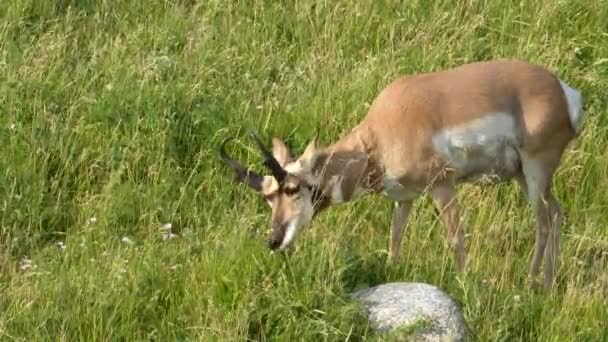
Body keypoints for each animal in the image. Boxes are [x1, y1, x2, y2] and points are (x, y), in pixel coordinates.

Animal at [221, 58, 580, 288]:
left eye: (293, 189)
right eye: (268, 198)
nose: (273, 240)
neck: (379, 137)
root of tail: (563, 90)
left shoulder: (443, 187)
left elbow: (456, 238)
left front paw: (464, 284)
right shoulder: (404, 197)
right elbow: (395, 237)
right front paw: (391, 272)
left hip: (534, 169)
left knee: (542, 221)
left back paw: (530, 284)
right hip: (523, 175)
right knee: (557, 212)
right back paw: (548, 287)